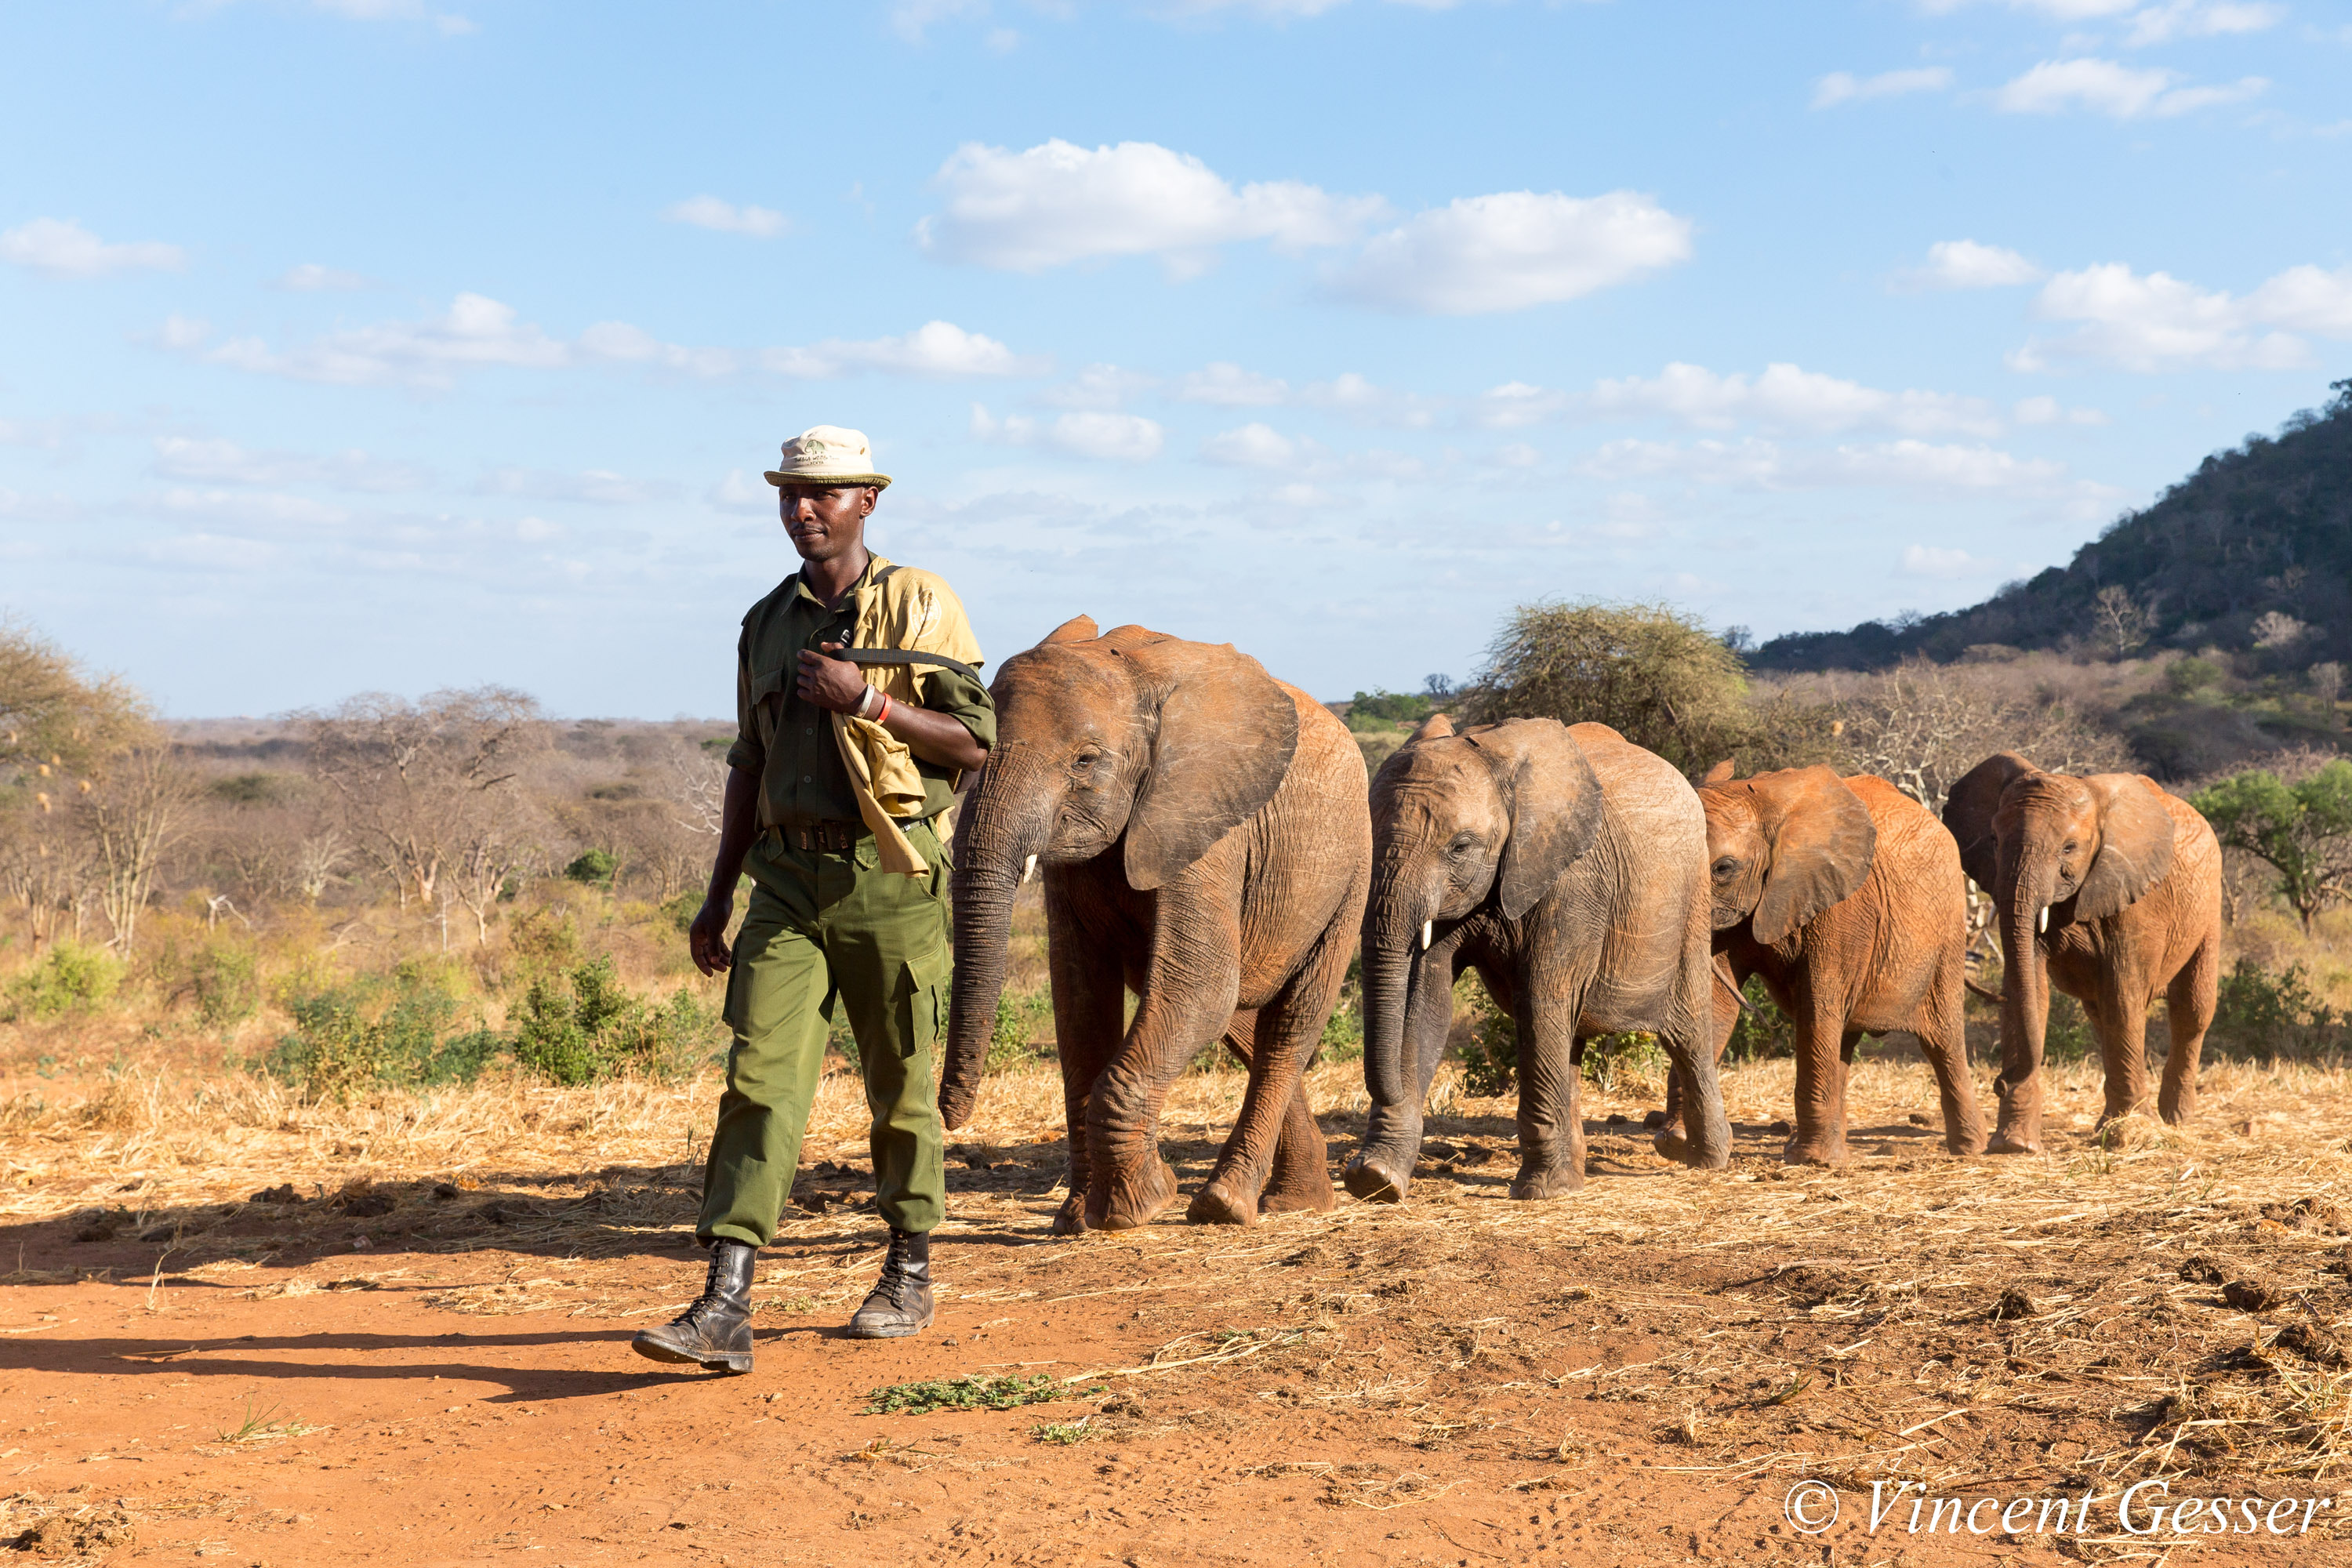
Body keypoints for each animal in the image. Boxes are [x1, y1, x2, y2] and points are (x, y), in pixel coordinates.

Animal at [936, 616, 1371, 1232]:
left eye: (1085, 761)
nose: (951, 1116)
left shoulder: (1203, 818)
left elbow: (1197, 987)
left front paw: (1137, 1206)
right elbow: (1081, 1001)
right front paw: (1077, 1219)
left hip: (1352, 867)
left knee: (1288, 1024)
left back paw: (1226, 1204)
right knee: (1238, 1019)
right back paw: (1298, 1201)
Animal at [1344, 715, 1731, 1204]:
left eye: (1460, 847)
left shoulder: (1575, 880)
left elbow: (1539, 1000)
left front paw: (1539, 1191)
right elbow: (1425, 1002)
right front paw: (1376, 1180)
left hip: (1691, 903)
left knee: (1688, 1034)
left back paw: (1705, 1159)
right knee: (1572, 1037)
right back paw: (1579, 1173)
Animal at [1655, 763, 1987, 1167]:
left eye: (1723, 868)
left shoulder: (1843, 905)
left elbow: (1816, 1004)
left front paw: (1809, 1161)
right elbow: (1717, 1004)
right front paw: (1677, 1145)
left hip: (1948, 932)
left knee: (1943, 1039)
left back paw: (1970, 1149)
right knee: (1844, 1036)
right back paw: (1835, 1152)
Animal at [1942, 752, 2223, 1150]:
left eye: (2069, 848)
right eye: (1994, 840)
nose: (1999, 1082)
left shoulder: (2136, 898)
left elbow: (2123, 996)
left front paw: (2128, 1134)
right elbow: (2030, 993)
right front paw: (2015, 1145)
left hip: (2208, 905)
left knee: (2191, 1010)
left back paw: (2175, 1119)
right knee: (2099, 1014)